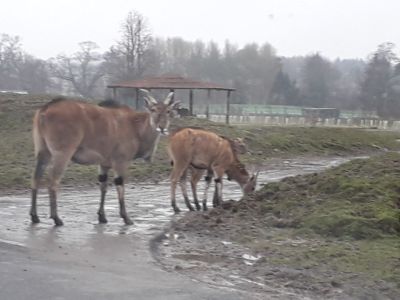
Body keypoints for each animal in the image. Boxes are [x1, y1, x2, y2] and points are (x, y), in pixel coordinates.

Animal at [29, 90, 177, 226]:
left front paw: (102, 217)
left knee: (36, 178)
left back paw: (35, 216)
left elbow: (103, 186)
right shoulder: (121, 161)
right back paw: (57, 218)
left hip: (43, 153)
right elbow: (120, 185)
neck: (134, 125)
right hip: (62, 154)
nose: (161, 127)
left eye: (168, 111)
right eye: (153, 110)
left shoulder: (104, 165)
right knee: (53, 182)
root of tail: (46, 108)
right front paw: (126, 218)